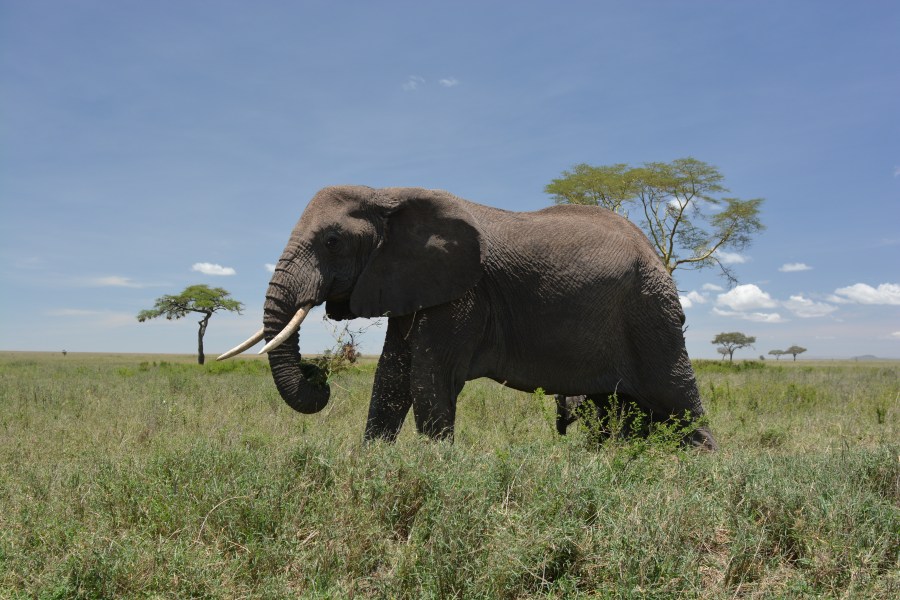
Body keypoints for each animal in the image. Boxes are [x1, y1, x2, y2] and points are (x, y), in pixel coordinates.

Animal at [220, 185, 717, 450]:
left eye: (333, 242)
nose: (318, 374)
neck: (387, 194)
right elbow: (392, 376)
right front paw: (372, 463)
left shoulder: (464, 292)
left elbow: (427, 376)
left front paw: (435, 471)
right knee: (623, 408)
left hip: (650, 314)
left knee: (677, 400)